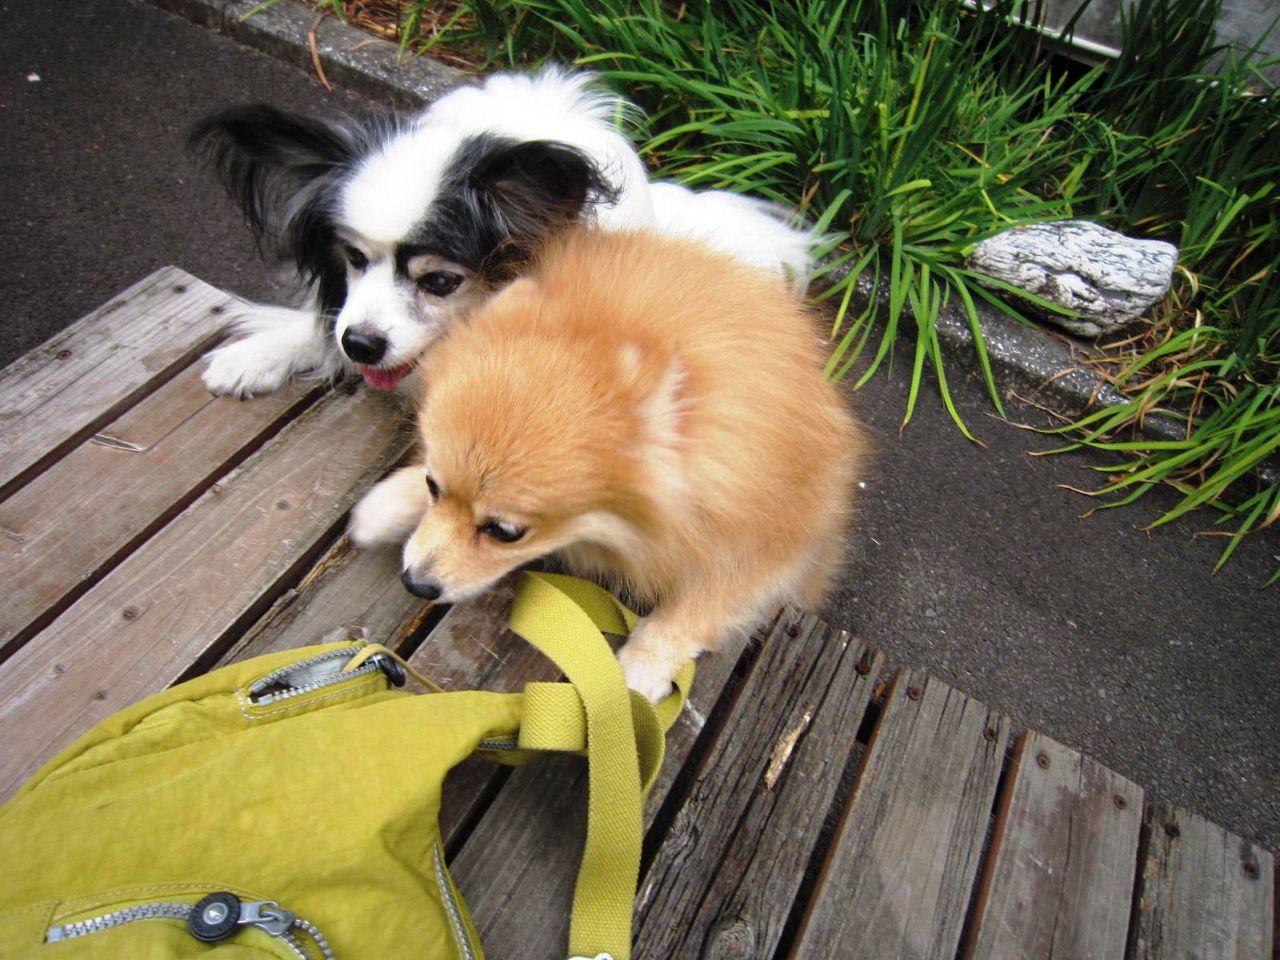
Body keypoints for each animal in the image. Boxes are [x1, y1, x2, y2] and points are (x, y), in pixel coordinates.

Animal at [347, 228, 865, 701]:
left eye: (505, 532)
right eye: (433, 486)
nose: (416, 582)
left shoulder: (778, 543)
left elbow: (708, 599)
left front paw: (644, 662)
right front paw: (389, 503)